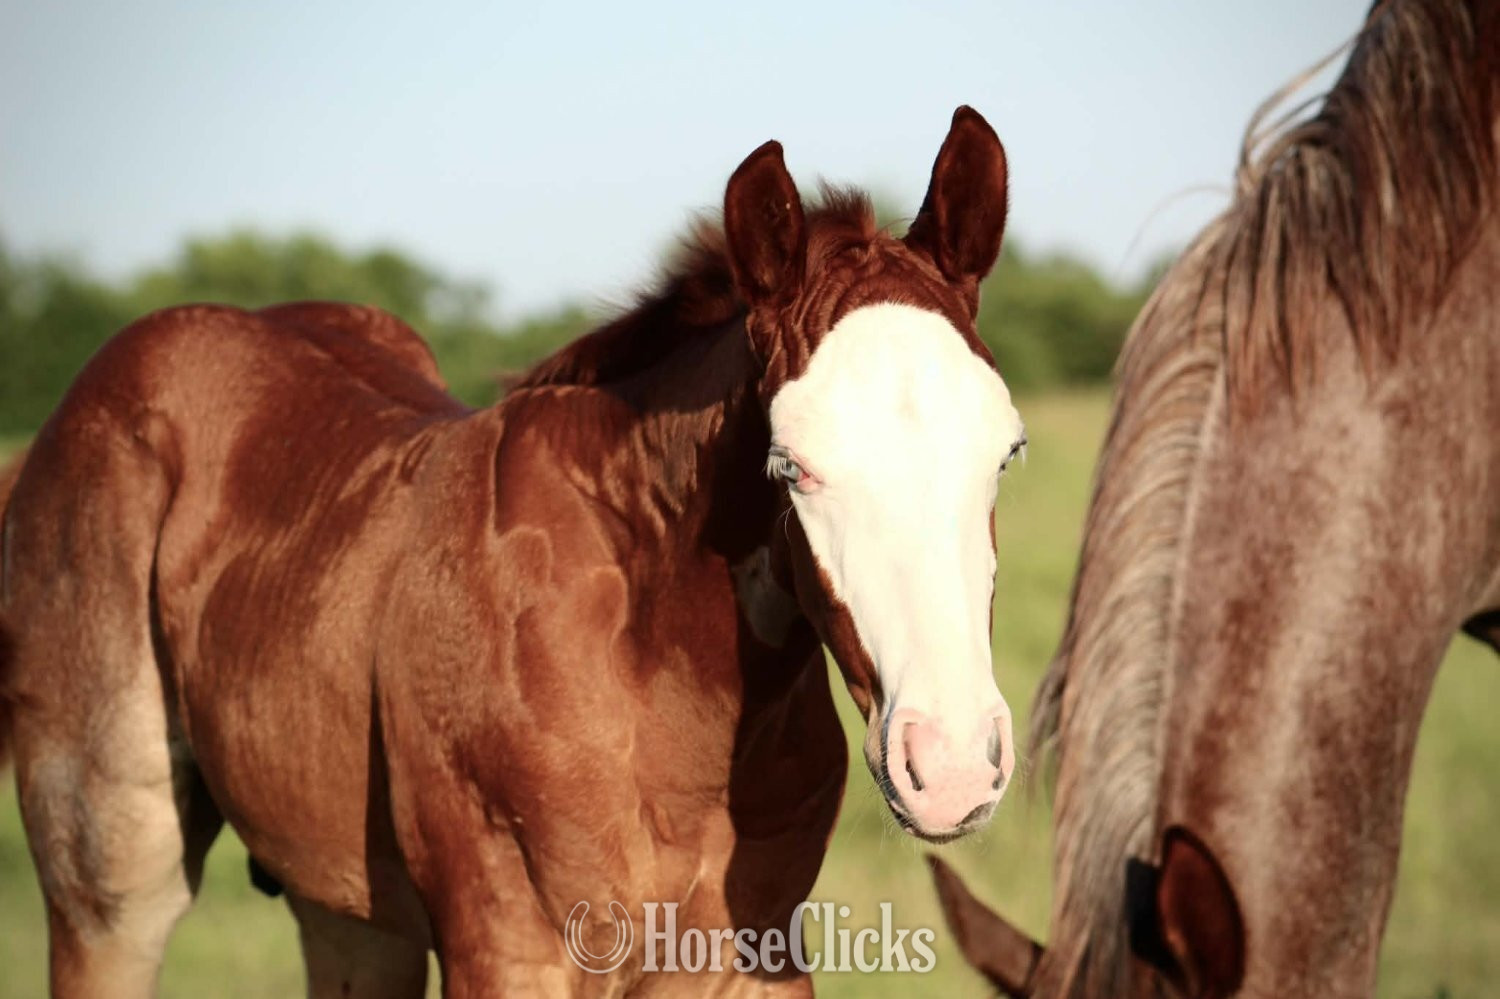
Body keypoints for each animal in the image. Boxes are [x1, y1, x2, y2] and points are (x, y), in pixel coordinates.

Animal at [0, 106, 1025, 997]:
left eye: (1006, 450)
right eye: (791, 464)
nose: (953, 769)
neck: (654, 676)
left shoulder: (752, 958)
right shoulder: (514, 952)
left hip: (349, 913)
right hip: (113, 877)